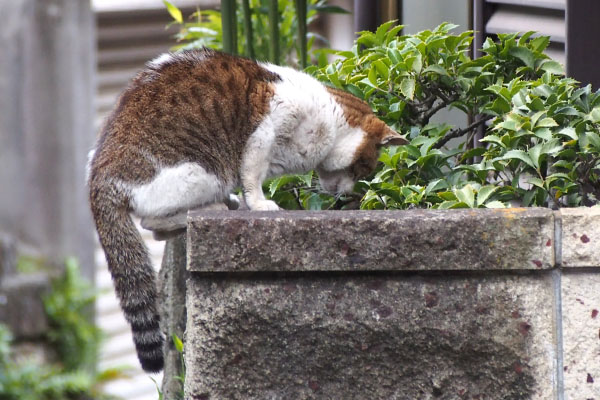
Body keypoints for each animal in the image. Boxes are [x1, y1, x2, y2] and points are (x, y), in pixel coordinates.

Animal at [86, 47, 408, 372]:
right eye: (364, 169)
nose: (348, 193)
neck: (329, 118)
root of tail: (99, 176)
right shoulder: (262, 134)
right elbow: (252, 177)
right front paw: (260, 203)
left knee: (158, 231)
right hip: (203, 173)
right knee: (153, 222)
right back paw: (217, 206)